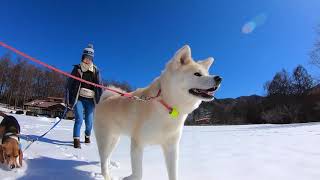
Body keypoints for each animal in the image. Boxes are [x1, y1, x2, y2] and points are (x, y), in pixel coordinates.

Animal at [94, 45, 221, 180]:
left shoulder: (171, 148)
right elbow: (138, 173)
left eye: (207, 74)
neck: (167, 106)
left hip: (114, 139)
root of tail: (105, 99)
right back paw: (106, 175)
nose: (219, 78)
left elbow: (173, 174)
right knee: (103, 159)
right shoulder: (137, 145)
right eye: (197, 74)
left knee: (107, 157)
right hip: (105, 139)